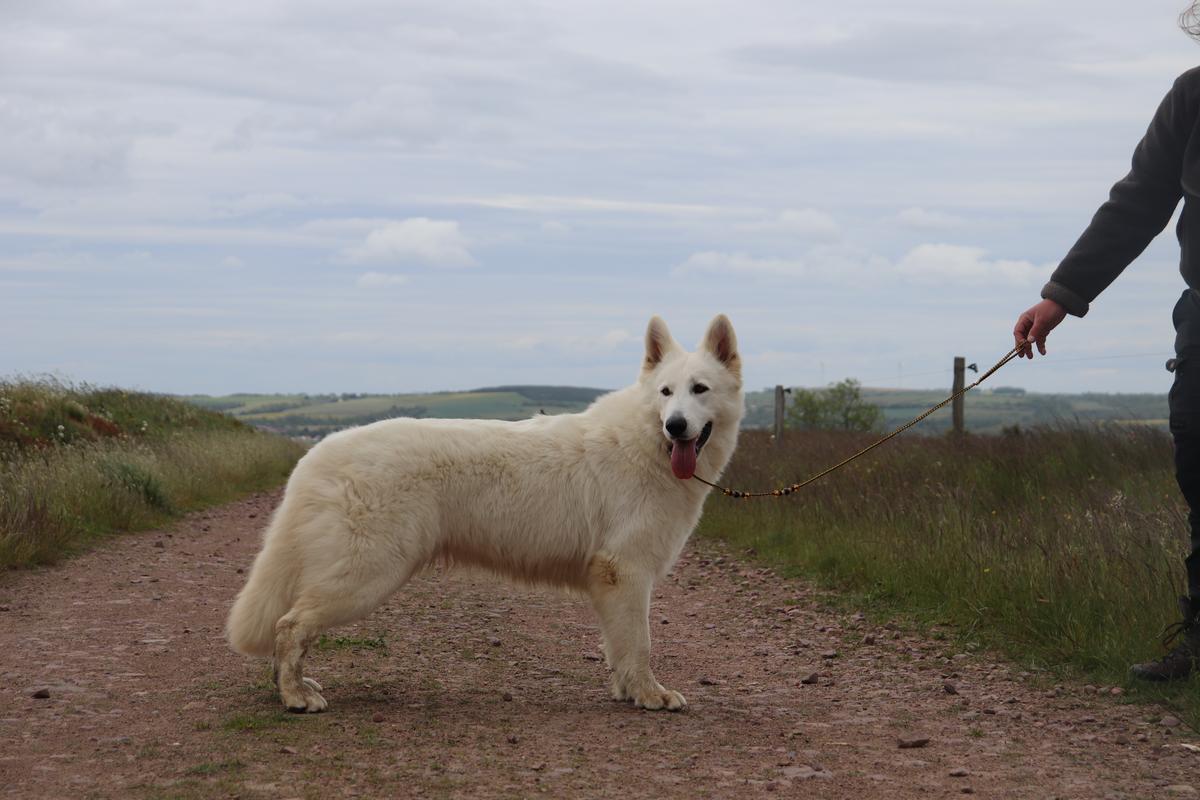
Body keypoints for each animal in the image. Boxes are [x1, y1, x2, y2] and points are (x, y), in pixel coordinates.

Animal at [225, 314, 739, 714]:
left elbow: (620, 647)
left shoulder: (616, 582)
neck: (648, 442)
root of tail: (317, 452)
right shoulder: (625, 572)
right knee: (289, 627)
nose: (675, 425)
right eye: (665, 392)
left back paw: (291, 687)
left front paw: (628, 692)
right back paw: (295, 696)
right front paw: (651, 695)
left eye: (700, 389)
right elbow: (640, 644)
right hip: (367, 575)